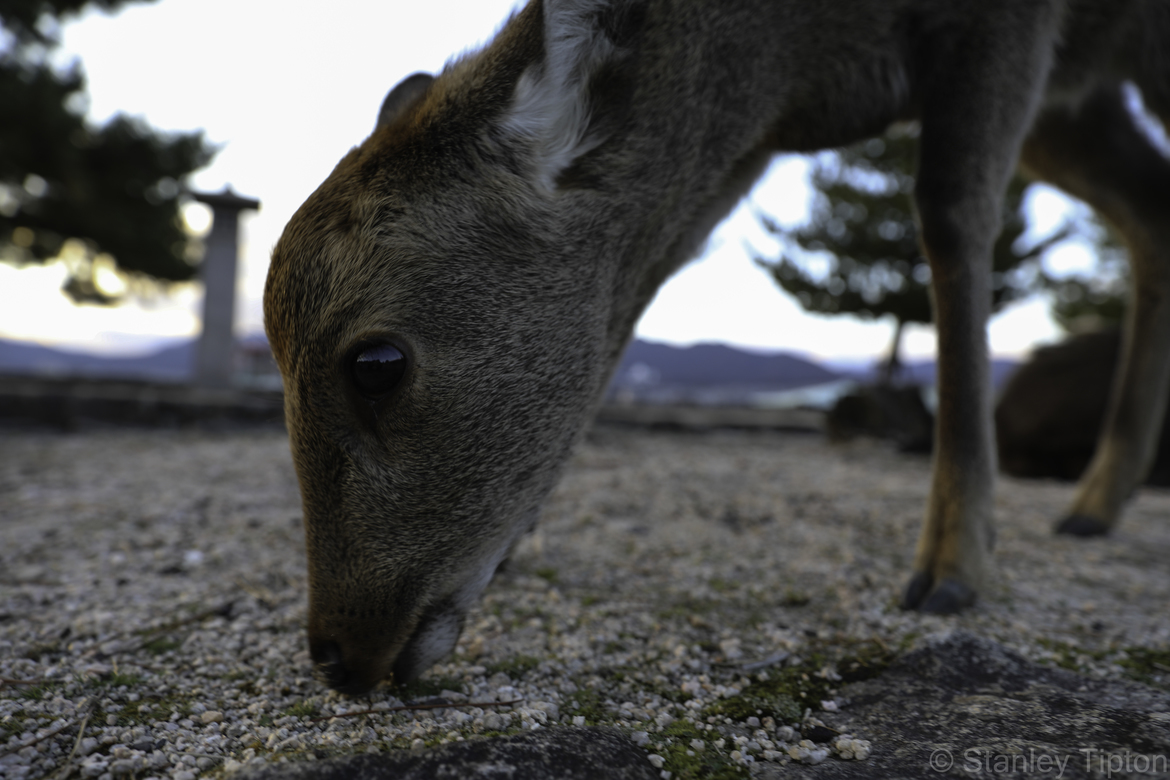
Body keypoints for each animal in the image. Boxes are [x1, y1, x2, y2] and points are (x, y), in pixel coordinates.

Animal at [264, 0, 1170, 695]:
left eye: (376, 364)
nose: (335, 654)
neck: (811, 63)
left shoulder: (1007, 25)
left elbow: (950, 214)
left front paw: (953, 569)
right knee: (1146, 199)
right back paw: (1094, 504)